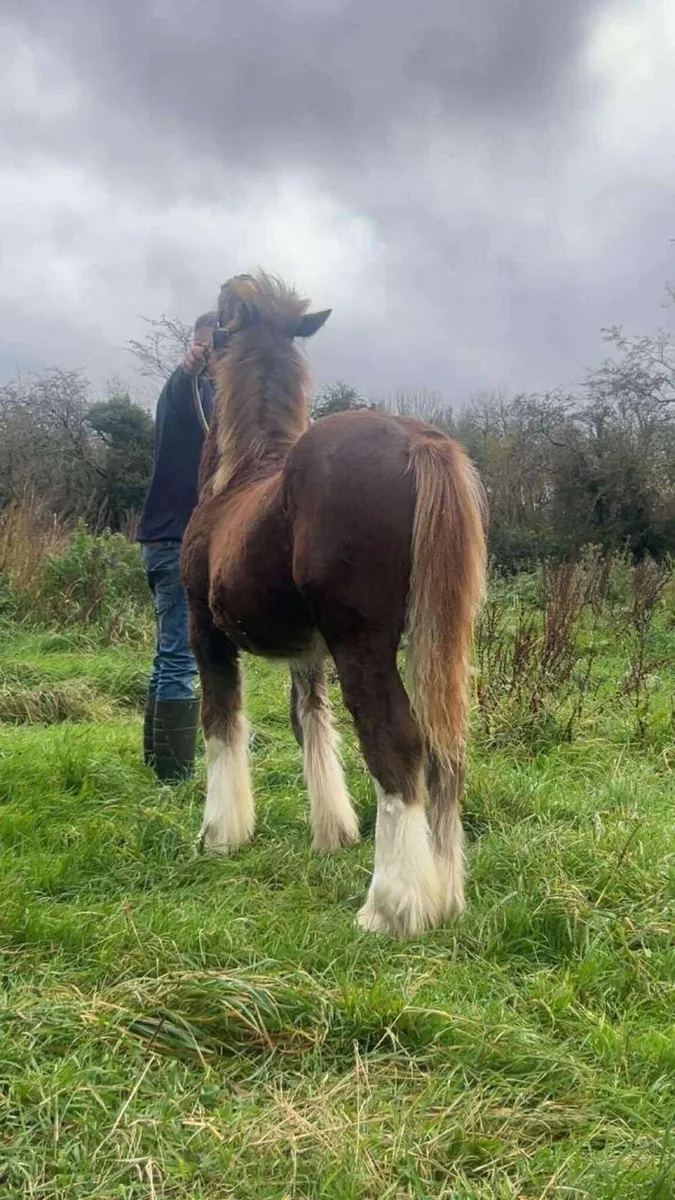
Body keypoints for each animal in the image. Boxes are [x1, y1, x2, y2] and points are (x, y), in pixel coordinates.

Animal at [181, 272, 487, 938]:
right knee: (445, 750)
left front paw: (220, 834)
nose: (190, 358)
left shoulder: (205, 634)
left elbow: (221, 723)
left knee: (396, 742)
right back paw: (445, 894)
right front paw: (332, 833)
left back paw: (391, 907)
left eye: (210, 328)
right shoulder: (307, 653)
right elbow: (311, 724)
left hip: (363, 645)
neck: (238, 478)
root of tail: (418, 440)